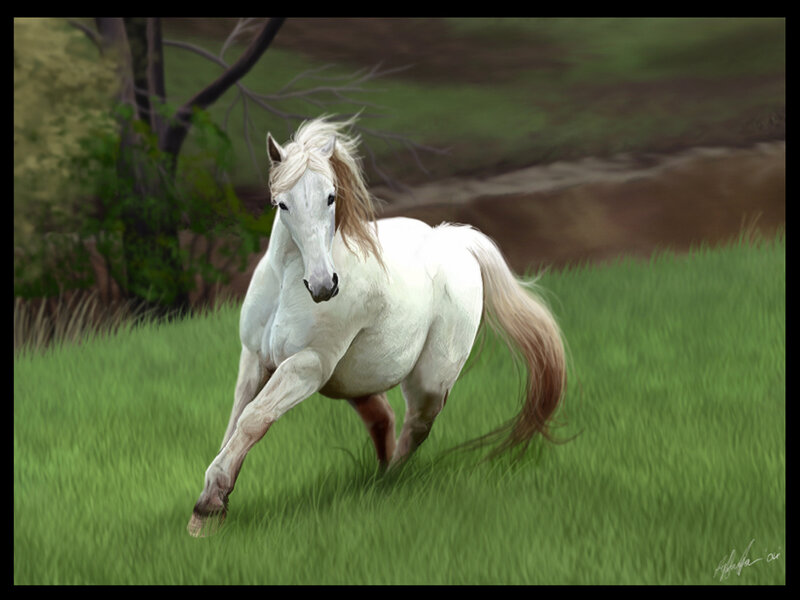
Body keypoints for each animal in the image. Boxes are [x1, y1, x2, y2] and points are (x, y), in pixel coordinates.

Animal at [188, 116, 567, 537]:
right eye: (282, 203)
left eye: (331, 197)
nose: (324, 286)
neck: (288, 281)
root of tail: (455, 241)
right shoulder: (254, 358)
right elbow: (236, 420)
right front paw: (213, 505)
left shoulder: (308, 366)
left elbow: (254, 419)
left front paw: (207, 507)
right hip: (354, 381)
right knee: (383, 419)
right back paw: (378, 482)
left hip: (428, 381)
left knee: (415, 427)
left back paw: (389, 488)